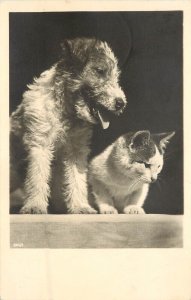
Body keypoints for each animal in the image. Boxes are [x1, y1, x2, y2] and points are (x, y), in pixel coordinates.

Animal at [10, 37, 127, 213]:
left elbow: (76, 179)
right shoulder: (40, 143)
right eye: (100, 70)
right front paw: (35, 206)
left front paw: (81, 206)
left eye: (116, 76)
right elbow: (37, 176)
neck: (66, 111)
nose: (121, 103)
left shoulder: (76, 150)